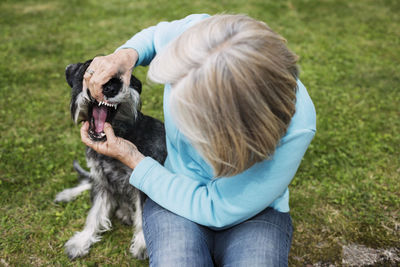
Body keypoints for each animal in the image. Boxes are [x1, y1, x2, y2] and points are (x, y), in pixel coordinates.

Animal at [54, 58, 166, 260]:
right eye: (89, 72)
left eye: (122, 78)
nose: (110, 88)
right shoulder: (101, 180)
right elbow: (94, 214)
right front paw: (81, 241)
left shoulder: (142, 186)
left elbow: (142, 215)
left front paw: (142, 244)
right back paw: (66, 194)